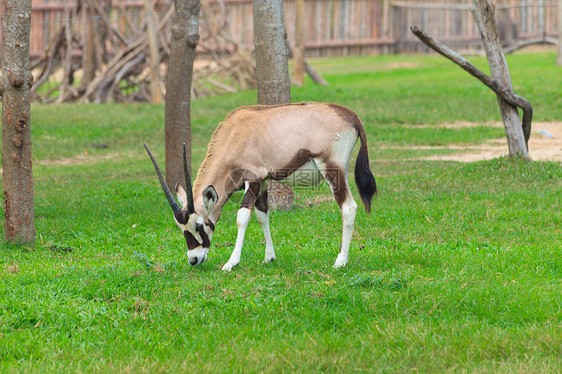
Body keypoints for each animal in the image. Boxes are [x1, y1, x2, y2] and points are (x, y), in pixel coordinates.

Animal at [145, 102, 376, 272]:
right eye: (181, 228)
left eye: (199, 225)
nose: (193, 259)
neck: (233, 134)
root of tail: (351, 117)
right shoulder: (263, 181)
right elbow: (262, 214)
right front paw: (269, 257)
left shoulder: (253, 178)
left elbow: (243, 217)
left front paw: (231, 263)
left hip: (332, 169)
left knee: (348, 207)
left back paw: (340, 261)